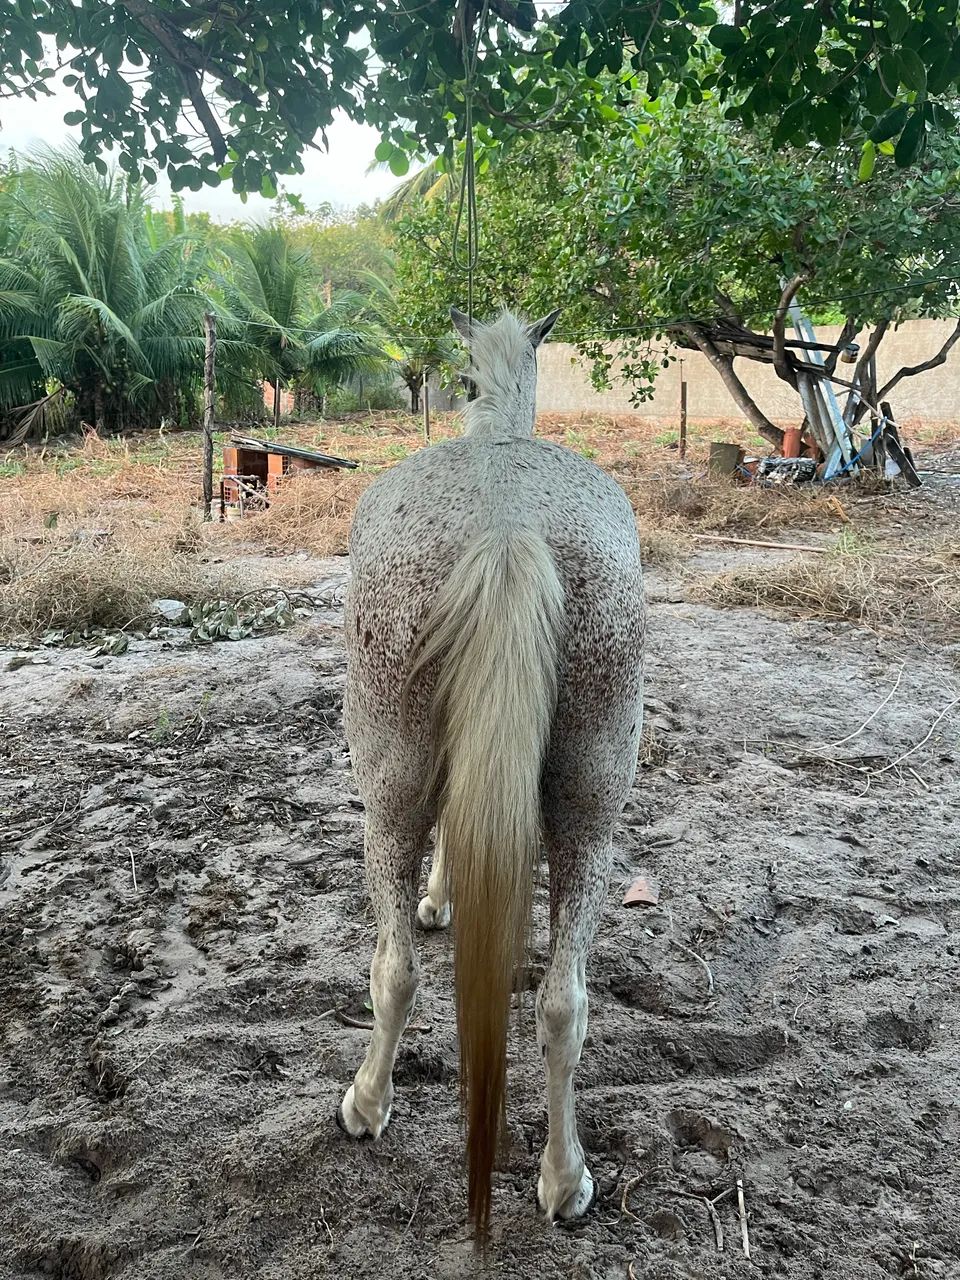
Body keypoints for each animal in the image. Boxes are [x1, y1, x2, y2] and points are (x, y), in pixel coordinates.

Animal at [336, 306, 645, 1236]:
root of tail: (508, 529)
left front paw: (439, 898)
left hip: (388, 792)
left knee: (394, 970)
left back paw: (366, 1104)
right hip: (589, 806)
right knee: (563, 1004)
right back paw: (563, 1179)